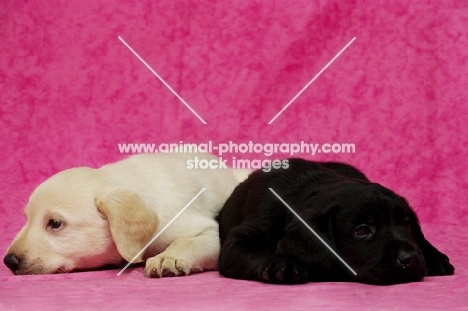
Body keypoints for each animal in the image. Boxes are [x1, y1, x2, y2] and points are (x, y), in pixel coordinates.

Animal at [3, 154, 252, 278]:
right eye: (26, 219)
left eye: (55, 223)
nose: (8, 261)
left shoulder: (206, 231)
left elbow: (187, 242)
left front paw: (168, 258)